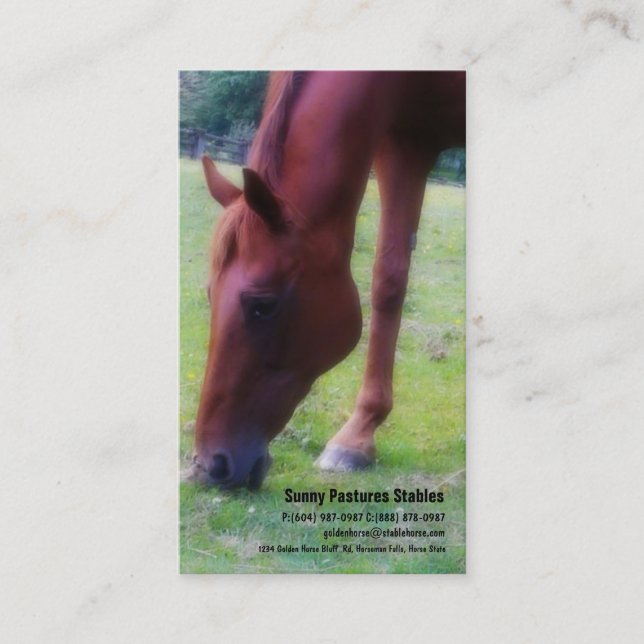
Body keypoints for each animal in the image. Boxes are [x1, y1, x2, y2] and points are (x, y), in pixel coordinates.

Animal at [185, 71, 465, 489]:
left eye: (262, 305)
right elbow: (389, 281)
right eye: (209, 294)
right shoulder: (407, 142)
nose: (209, 466)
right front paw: (357, 436)